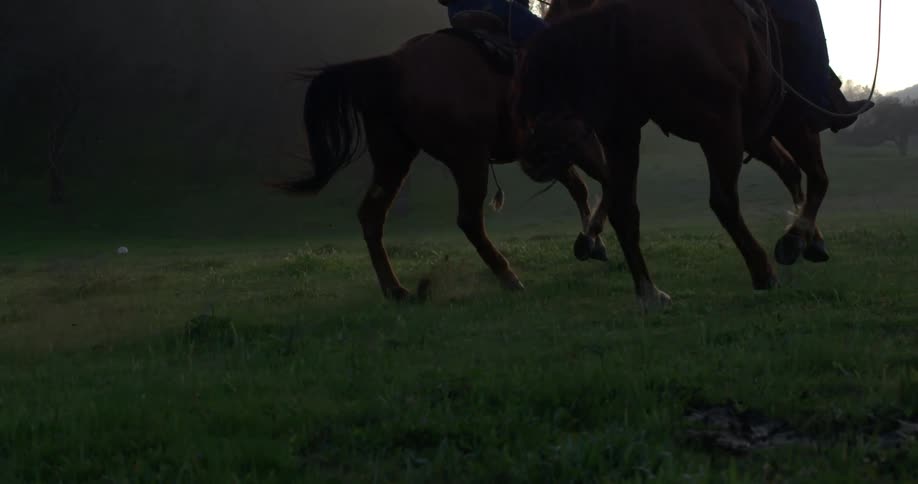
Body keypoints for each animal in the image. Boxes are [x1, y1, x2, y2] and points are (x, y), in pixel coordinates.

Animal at [271, 0, 606, 301]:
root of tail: (394, 65)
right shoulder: (582, 140)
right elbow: (604, 181)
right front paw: (593, 242)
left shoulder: (556, 152)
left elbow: (580, 189)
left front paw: (593, 242)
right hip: (468, 159)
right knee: (469, 220)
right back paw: (507, 277)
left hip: (394, 158)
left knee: (371, 215)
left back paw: (395, 290)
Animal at [512, 0, 835, 310]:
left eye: (545, 87)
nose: (532, 159)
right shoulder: (635, 132)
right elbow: (628, 209)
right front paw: (649, 293)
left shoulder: (709, 128)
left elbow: (716, 203)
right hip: (753, 129)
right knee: (791, 174)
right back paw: (799, 242)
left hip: (769, 124)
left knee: (806, 173)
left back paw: (800, 238)